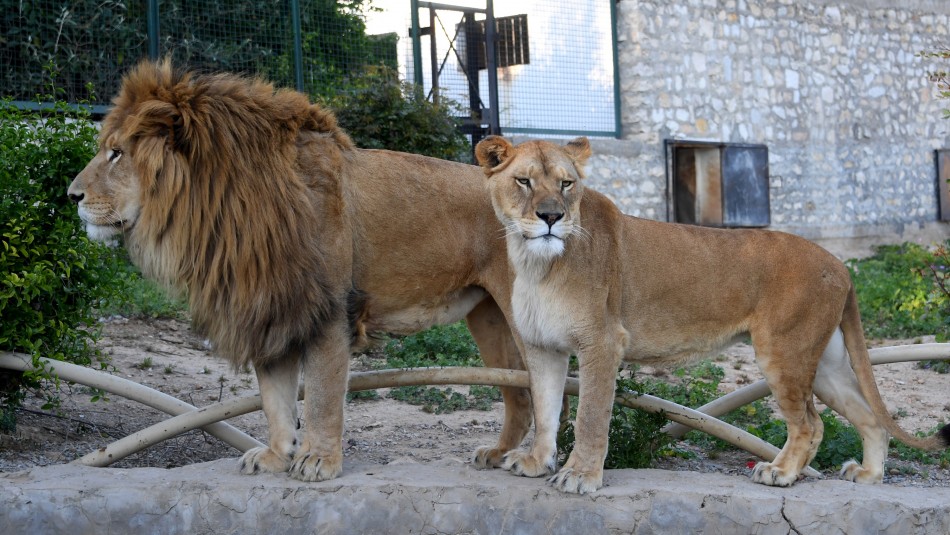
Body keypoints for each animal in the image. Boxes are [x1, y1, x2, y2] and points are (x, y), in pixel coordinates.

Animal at [66, 60, 528, 484]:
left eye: (116, 152)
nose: (71, 195)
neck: (224, 210)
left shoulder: (328, 310)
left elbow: (322, 394)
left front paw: (319, 460)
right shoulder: (268, 306)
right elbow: (276, 398)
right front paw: (276, 455)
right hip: (487, 317)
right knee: (519, 390)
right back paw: (500, 454)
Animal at [476, 136, 950, 496]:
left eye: (567, 184)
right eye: (523, 181)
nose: (551, 216)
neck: (536, 264)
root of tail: (841, 265)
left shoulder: (602, 343)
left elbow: (590, 416)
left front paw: (579, 477)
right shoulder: (542, 348)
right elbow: (545, 409)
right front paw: (536, 461)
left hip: (784, 352)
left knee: (811, 425)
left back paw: (780, 472)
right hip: (826, 362)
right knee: (870, 418)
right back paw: (868, 474)